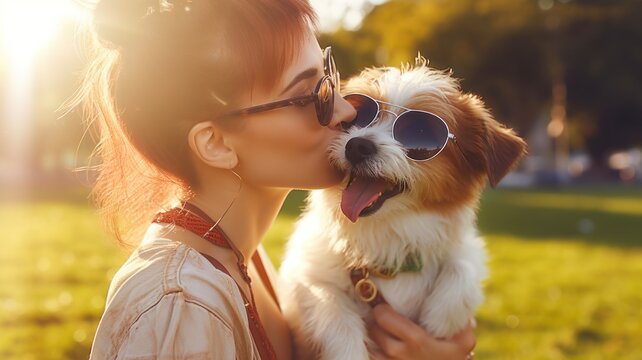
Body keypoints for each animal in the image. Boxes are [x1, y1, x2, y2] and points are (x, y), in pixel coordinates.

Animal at [278, 57, 524, 358]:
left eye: (420, 133)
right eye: (356, 118)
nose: (358, 145)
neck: (386, 231)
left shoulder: (460, 246)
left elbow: (464, 263)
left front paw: (439, 320)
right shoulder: (304, 275)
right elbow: (332, 309)